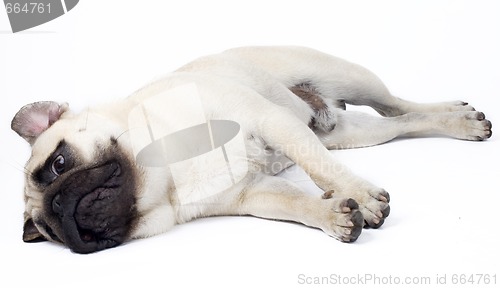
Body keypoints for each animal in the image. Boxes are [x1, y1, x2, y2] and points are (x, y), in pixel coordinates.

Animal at [11, 46, 492, 253]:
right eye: (51, 232)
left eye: (58, 164)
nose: (60, 206)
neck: (165, 176)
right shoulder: (252, 194)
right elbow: (296, 203)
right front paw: (332, 215)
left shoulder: (270, 121)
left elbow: (318, 168)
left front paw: (359, 195)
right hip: (348, 133)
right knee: (399, 125)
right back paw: (453, 122)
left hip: (351, 79)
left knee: (398, 104)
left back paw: (460, 119)